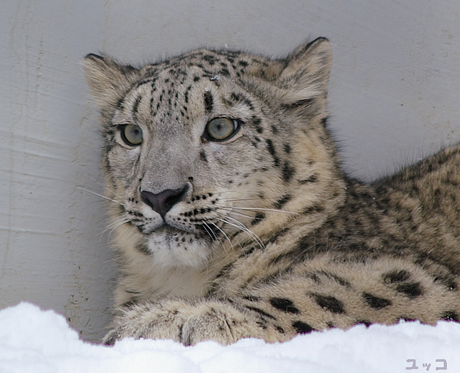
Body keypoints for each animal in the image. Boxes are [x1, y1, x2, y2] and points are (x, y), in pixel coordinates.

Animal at [84, 37, 460, 346]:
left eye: (221, 127)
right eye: (132, 133)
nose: (159, 195)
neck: (179, 278)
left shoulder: (404, 275)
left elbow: (318, 295)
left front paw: (164, 320)